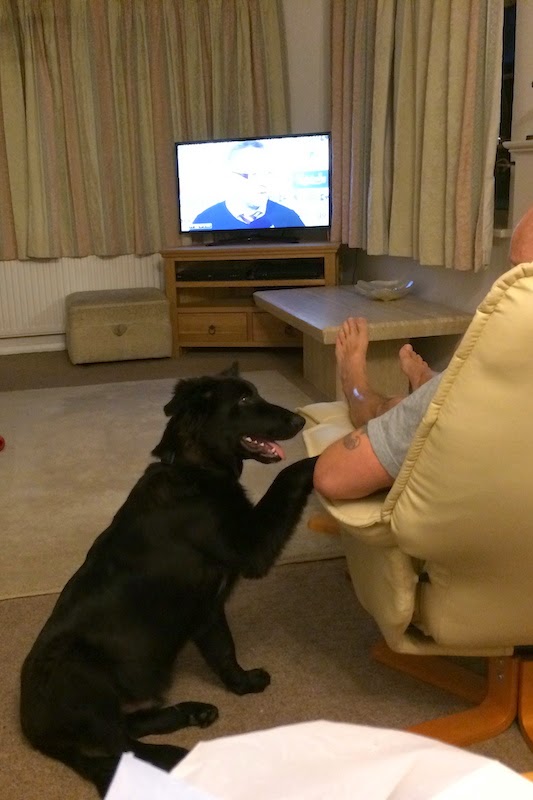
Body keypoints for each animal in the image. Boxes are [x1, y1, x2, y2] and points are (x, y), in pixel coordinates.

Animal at [20, 364, 317, 796]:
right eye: (244, 400)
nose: (299, 420)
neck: (194, 469)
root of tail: (34, 730)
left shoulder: (209, 609)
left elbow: (223, 652)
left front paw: (242, 684)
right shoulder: (249, 549)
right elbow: (288, 475)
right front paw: (333, 452)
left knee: (132, 726)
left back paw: (190, 712)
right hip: (82, 674)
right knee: (122, 746)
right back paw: (178, 754)